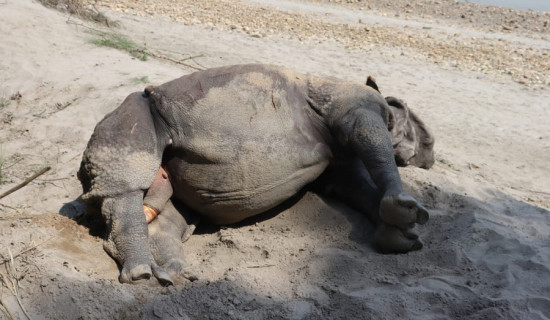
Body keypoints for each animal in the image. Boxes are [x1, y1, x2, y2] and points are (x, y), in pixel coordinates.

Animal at [80, 63, 438, 284]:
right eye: (424, 138)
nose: (432, 157)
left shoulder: (339, 166)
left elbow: (360, 190)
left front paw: (399, 235)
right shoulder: (356, 106)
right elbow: (374, 144)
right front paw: (405, 208)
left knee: (174, 211)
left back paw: (173, 275)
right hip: (136, 116)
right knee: (128, 179)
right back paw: (142, 274)